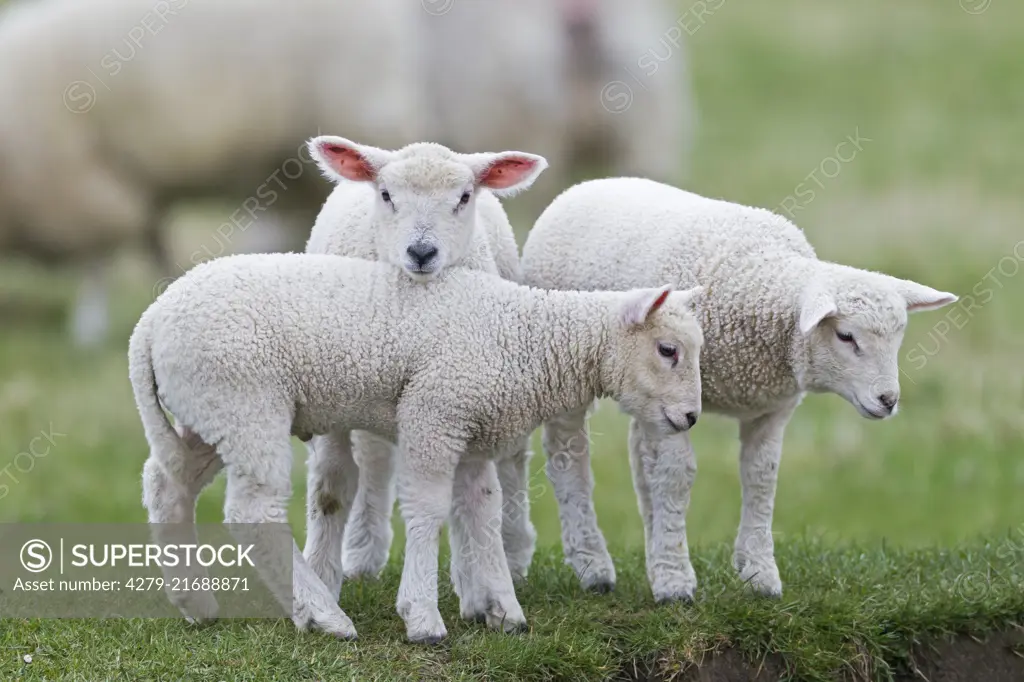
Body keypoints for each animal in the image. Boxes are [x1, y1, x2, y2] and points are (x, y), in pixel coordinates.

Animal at [128, 248, 704, 638]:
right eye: (667, 350)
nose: (692, 417)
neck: (528, 338)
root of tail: (150, 322)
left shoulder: (474, 432)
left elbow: (483, 513)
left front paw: (505, 610)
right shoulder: (434, 412)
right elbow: (427, 509)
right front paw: (423, 617)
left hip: (211, 411)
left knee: (167, 484)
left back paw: (195, 603)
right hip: (246, 402)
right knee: (253, 512)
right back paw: (325, 615)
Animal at [299, 135, 544, 593]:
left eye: (463, 197)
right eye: (386, 195)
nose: (422, 251)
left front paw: (475, 580)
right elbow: (331, 486)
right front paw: (321, 576)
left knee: (511, 463)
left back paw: (510, 552)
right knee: (375, 460)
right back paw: (363, 553)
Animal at [520, 176, 958, 602]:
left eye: (898, 339)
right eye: (846, 336)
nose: (888, 400)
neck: (756, 274)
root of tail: (582, 185)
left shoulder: (771, 407)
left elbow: (761, 476)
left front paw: (759, 573)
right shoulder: (677, 402)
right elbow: (677, 475)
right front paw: (676, 582)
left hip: (645, 398)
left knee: (642, 464)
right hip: (571, 368)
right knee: (568, 458)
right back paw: (593, 565)